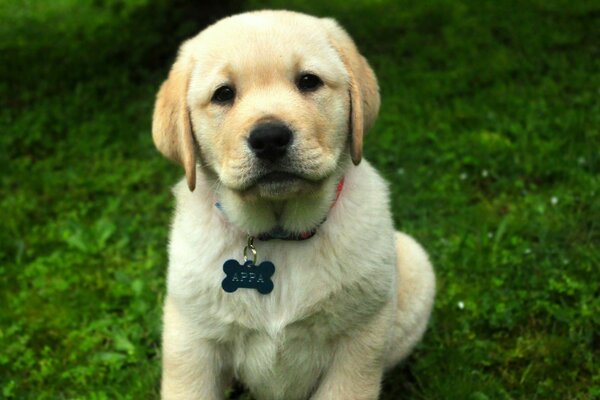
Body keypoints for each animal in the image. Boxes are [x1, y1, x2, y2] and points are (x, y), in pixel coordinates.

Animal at [154, 9, 436, 400]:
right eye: (223, 94)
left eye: (308, 81)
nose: (269, 138)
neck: (278, 235)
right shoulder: (192, 342)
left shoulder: (359, 342)